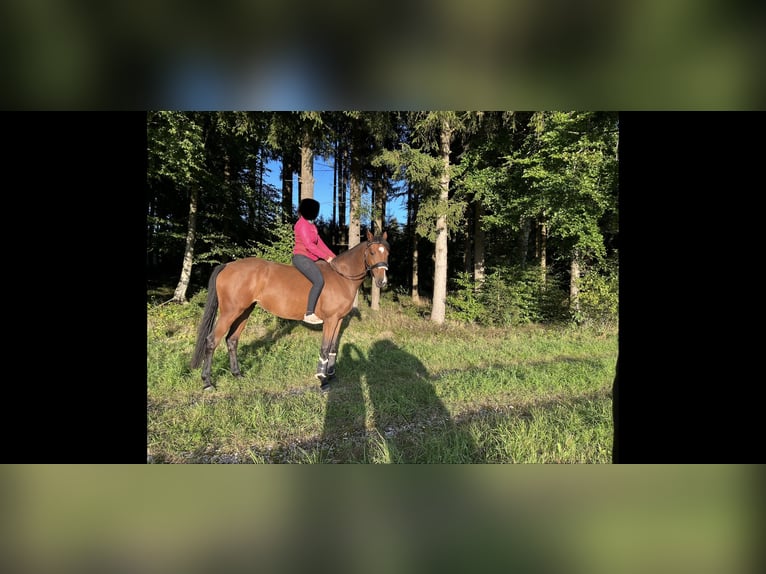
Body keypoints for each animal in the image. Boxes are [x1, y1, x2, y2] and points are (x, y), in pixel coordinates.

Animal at [191, 230, 390, 390]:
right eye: (372, 252)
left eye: (387, 252)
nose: (382, 282)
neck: (342, 277)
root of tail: (228, 265)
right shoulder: (331, 320)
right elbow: (325, 348)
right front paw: (322, 379)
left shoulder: (338, 320)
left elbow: (333, 347)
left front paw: (331, 375)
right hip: (229, 312)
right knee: (211, 341)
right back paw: (207, 382)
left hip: (244, 311)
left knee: (232, 340)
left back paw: (237, 374)